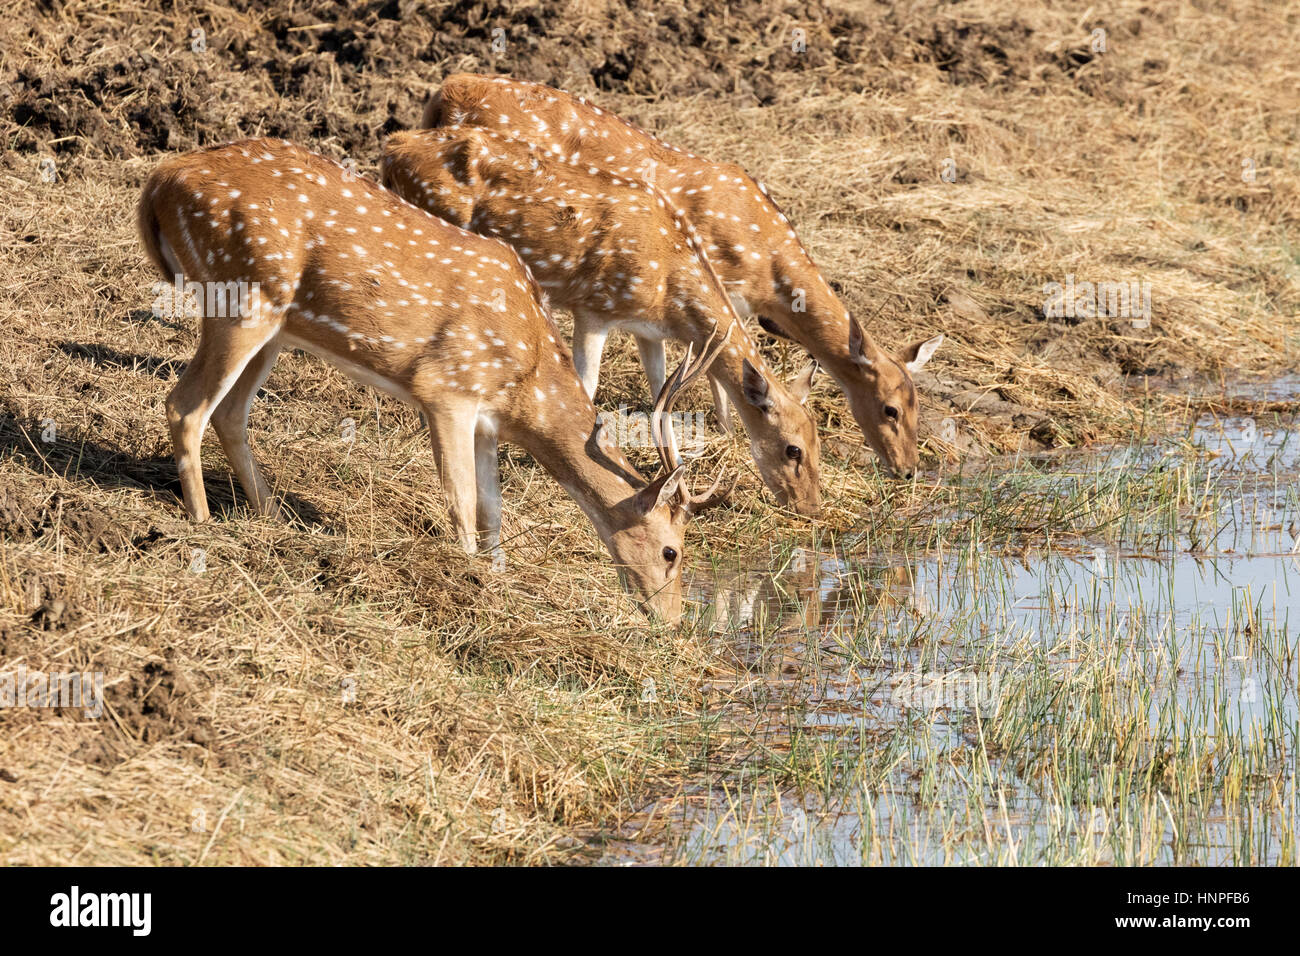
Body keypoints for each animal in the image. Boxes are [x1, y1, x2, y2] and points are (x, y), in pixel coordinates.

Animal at [142, 138, 738, 624]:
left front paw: (500, 579)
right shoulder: (446, 388)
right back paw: (202, 527)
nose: (672, 619)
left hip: (276, 327)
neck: (528, 380)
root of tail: (160, 180)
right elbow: (461, 499)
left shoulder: (489, 420)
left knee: (229, 412)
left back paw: (270, 520)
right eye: (672, 551)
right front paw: (470, 579)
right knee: (185, 406)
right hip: (240, 295)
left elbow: (494, 507)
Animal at [379, 127, 821, 520]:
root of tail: (392, 147)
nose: (809, 507)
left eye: (819, 439)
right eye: (792, 449)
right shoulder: (594, 307)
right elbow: (588, 384)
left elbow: (659, 392)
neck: (668, 284)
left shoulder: (646, 330)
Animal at [426, 70, 946, 481]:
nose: (907, 469)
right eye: (890, 408)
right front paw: (726, 435)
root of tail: (445, 91)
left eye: (918, 406)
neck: (767, 272)